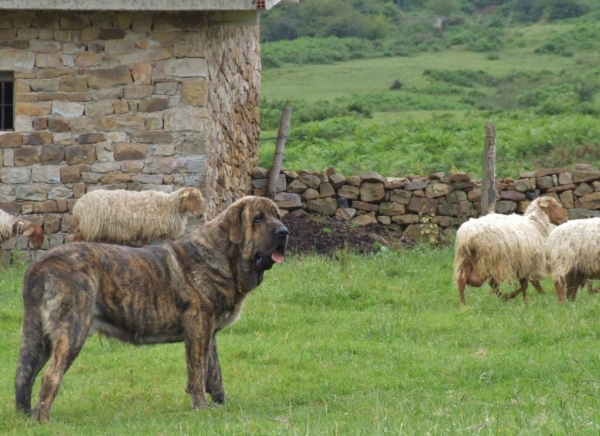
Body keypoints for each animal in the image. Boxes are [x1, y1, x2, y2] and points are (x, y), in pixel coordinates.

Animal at [14, 196, 286, 420]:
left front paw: (222, 402)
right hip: (72, 330)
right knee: (50, 376)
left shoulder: (209, 333)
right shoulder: (198, 329)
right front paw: (201, 406)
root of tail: (40, 265)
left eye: (277, 215)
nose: (284, 231)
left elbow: (214, 371)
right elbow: (198, 372)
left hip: (40, 337)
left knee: (25, 375)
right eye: (259, 218)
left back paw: (26, 415)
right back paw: (43, 419)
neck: (224, 257)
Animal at [71, 186, 204, 245]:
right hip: (88, 226)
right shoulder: (147, 228)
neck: (168, 205)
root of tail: (78, 204)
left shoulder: (146, 229)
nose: (201, 215)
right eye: (193, 196)